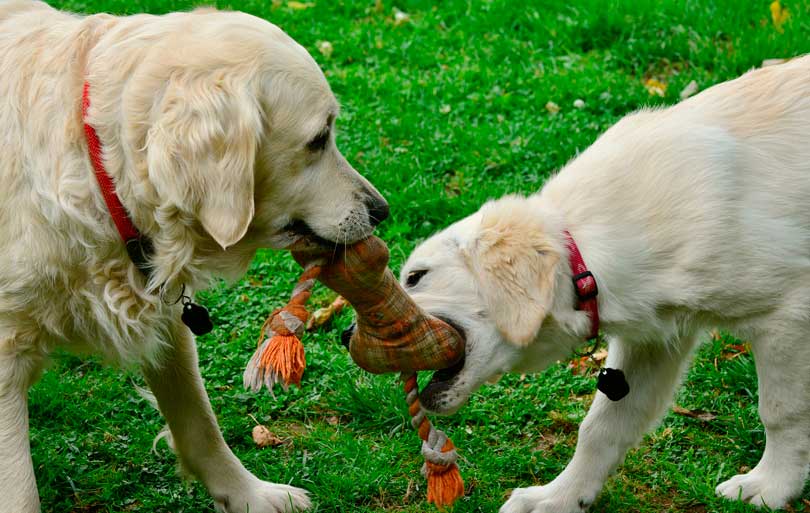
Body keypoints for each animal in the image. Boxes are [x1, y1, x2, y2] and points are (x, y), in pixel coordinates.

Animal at [0, 2, 386, 510]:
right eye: (319, 139)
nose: (382, 210)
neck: (98, 169)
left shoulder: (167, 318)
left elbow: (199, 423)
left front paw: (250, 494)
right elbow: (18, 488)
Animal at [398, 54, 808, 510]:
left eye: (416, 276)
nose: (356, 335)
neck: (585, 254)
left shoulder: (787, 313)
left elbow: (781, 411)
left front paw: (771, 488)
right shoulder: (655, 341)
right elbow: (602, 428)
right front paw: (558, 497)